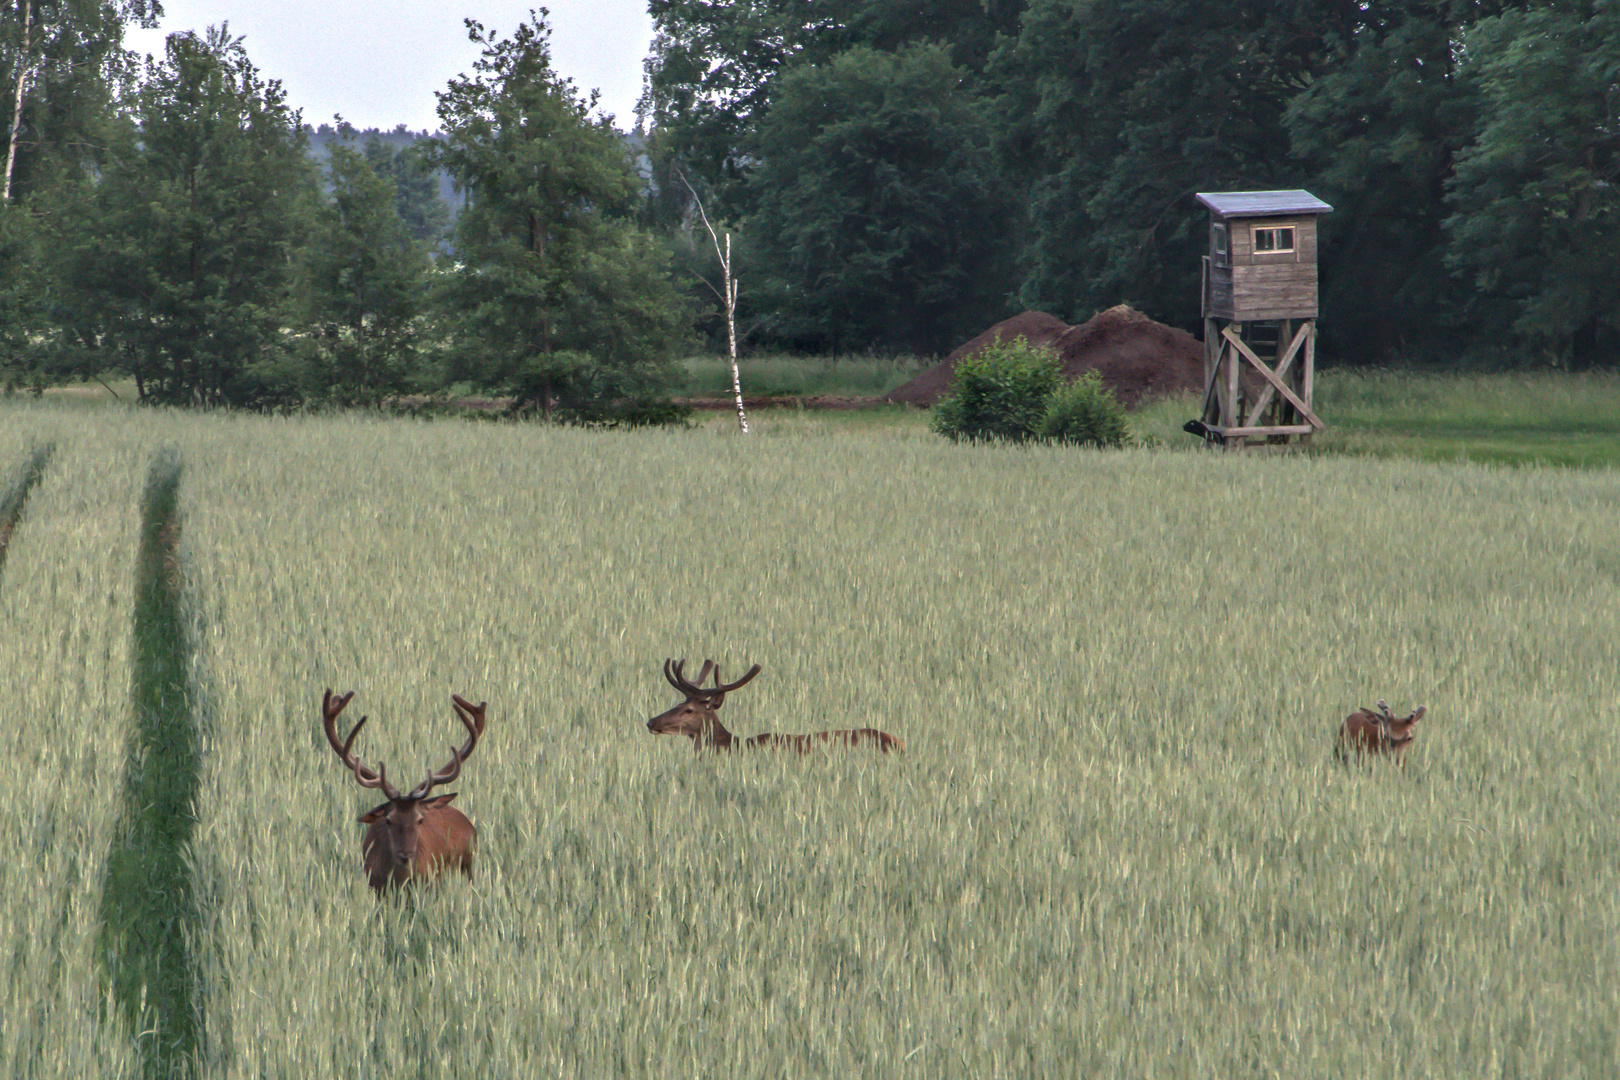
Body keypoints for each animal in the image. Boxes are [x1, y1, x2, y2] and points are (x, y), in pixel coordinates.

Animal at [320, 689, 482, 893]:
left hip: (467, 865)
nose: (406, 855)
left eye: (420, 820)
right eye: (389, 820)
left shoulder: (430, 883)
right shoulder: (374, 885)